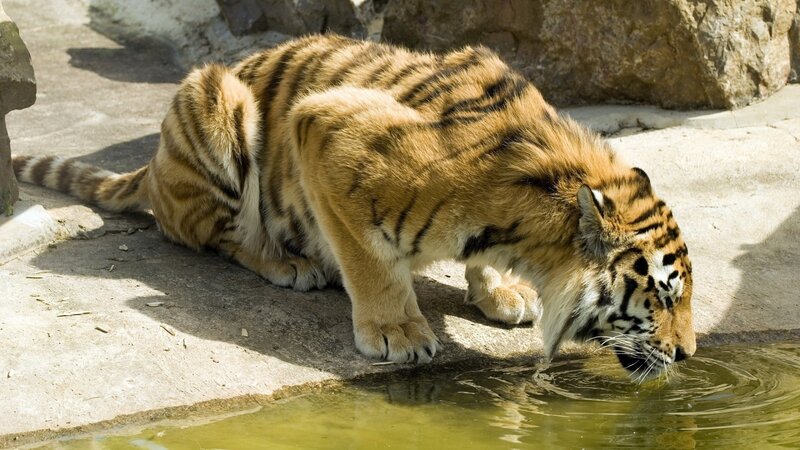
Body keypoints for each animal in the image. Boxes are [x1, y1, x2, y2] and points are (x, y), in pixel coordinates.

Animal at [12, 34, 695, 377]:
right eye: (662, 296)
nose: (688, 353)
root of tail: (152, 166)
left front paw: (502, 291)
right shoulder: (330, 130)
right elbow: (371, 263)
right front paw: (396, 332)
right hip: (217, 100)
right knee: (220, 237)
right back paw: (288, 263)